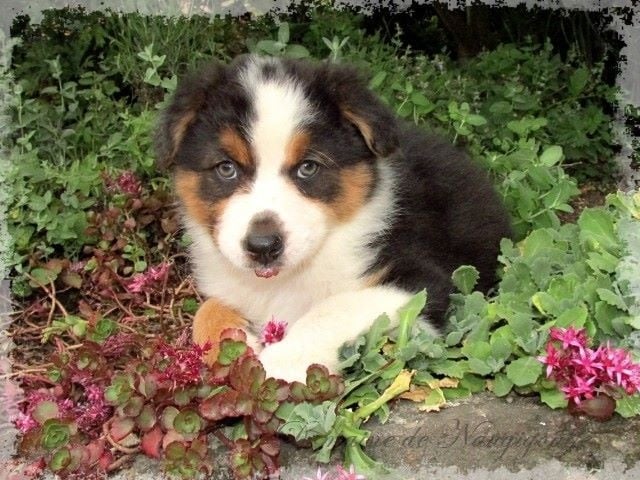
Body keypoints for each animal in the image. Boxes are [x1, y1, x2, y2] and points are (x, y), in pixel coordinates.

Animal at [155, 54, 510, 382]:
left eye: (308, 167)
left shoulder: (421, 280)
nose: (263, 246)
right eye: (226, 168)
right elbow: (206, 310)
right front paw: (236, 344)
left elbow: (333, 309)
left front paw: (275, 366)